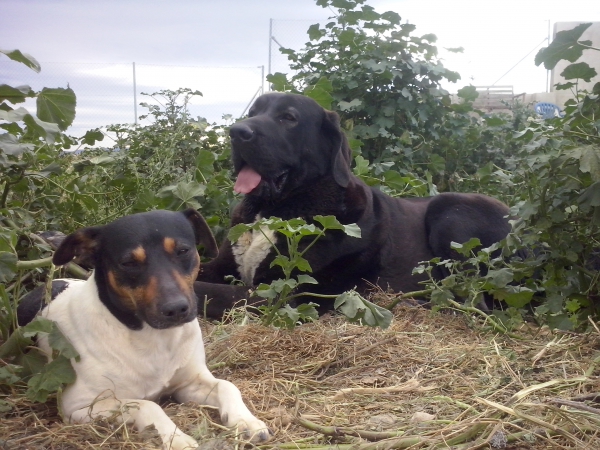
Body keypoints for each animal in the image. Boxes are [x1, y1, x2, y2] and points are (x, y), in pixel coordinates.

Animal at [17, 210, 270, 450]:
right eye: (128, 263)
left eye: (183, 251)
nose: (176, 309)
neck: (152, 337)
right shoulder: (81, 405)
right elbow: (147, 405)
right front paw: (177, 438)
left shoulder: (188, 383)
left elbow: (228, 385)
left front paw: (246, 421)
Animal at [195, 91, 512, 316]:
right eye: (253, 112)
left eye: (288, 117)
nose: (237, 132)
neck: (273, 209)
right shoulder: (223, 265)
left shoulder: (284, 295)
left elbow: (203, 291)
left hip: (449, 210)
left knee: (474, 303)